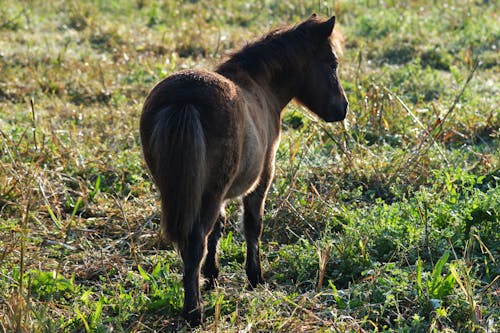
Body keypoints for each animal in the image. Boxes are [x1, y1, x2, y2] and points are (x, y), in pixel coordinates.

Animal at [137, 14, 348, 326]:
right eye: (332, 63)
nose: (343, 108)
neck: (260, 86)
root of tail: (184, 100)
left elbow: (219, 229)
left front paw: (212, 277)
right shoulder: (262, 177)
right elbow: (252, 225)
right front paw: (255, 277)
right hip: (211, 192)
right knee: (194, 242)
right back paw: (194, 312)